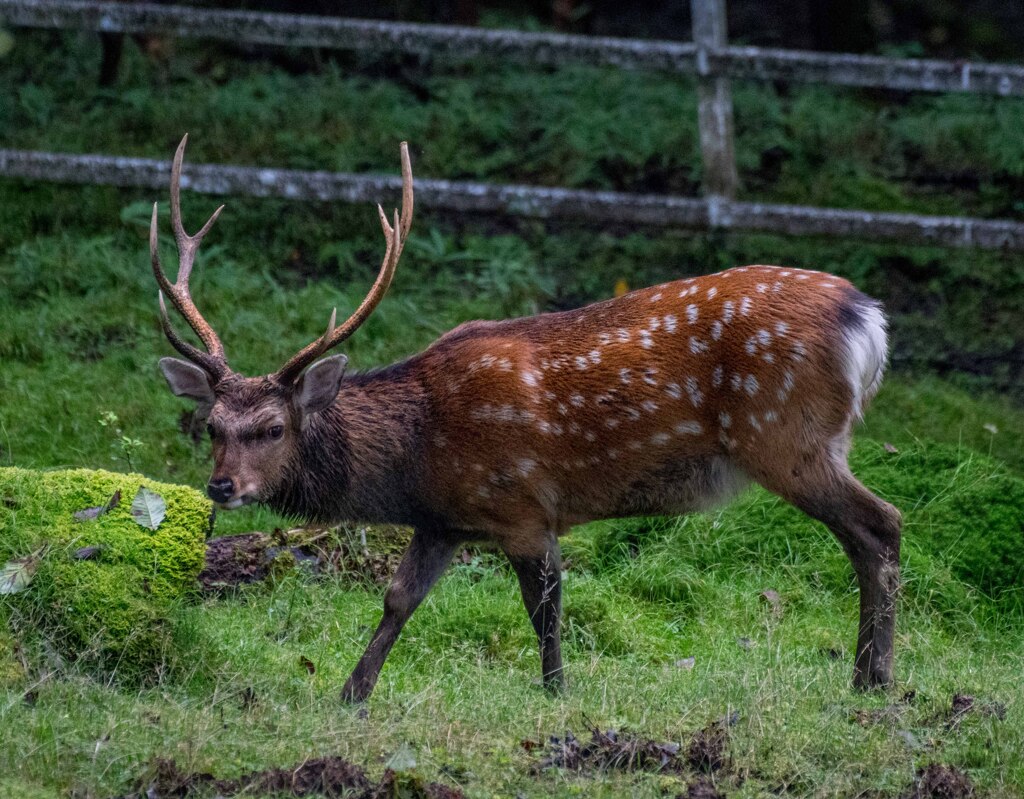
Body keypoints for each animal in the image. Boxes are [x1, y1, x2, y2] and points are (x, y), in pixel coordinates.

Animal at [153, 136, 905, 700]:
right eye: (212, 426)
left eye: (273, 428)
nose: (222, 486)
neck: (417, 454)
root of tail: (869, 320)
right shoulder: (444, 520)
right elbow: (397, 599)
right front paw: (351, 692)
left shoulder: (522, 504)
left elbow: (544, 609)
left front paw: (556, 691)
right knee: (869, 534)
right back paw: (869, 674)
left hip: (788, 435)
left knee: (882, 524)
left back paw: (872, 679)